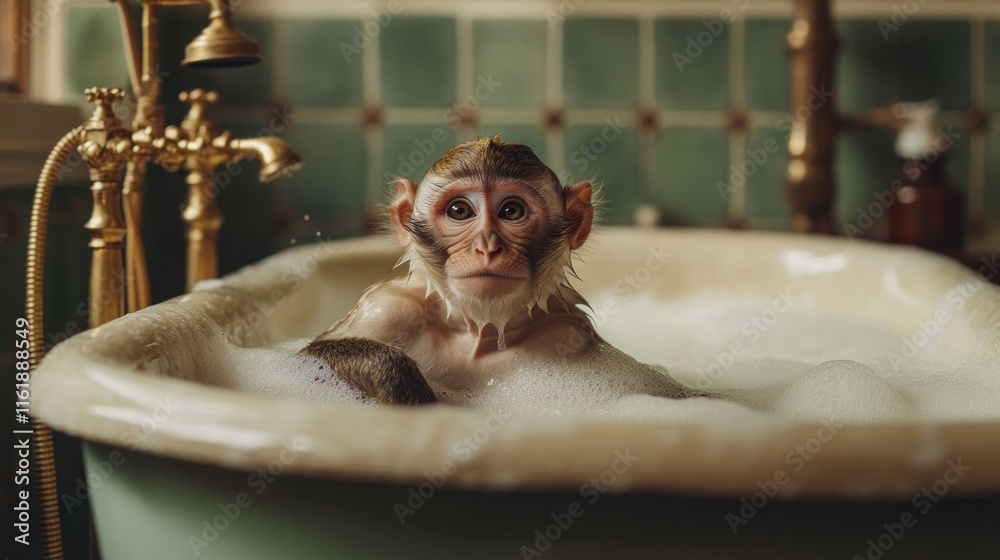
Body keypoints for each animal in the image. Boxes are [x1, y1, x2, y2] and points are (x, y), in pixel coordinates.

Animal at [302, 135, 700, 406]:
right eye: (460, 211)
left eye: (511, 211)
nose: (487, 246)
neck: (481, 333)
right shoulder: (387, 309)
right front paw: (401, 383)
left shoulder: (568, 338)